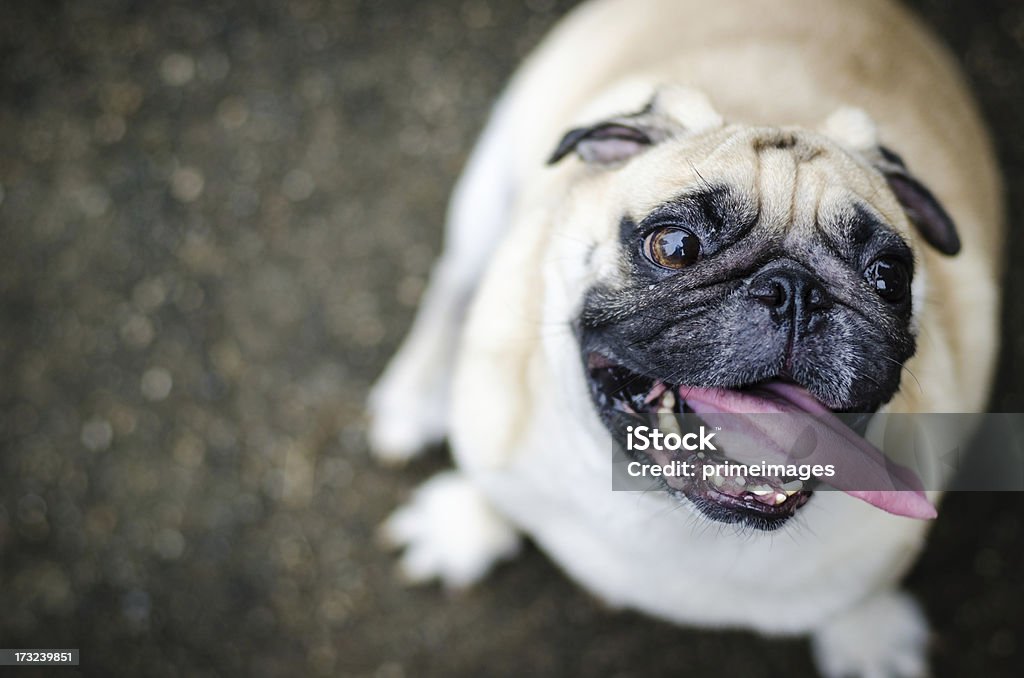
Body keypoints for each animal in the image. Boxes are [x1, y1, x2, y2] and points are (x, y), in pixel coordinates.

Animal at [366, 0, 999, 675]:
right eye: (674, 247)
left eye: (888, 277)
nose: (795, 292)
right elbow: (492, 481)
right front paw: (467, 522)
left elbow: (865, 589)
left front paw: (867, 635)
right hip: (487, 190)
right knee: (451, 281)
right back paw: (413, 401)